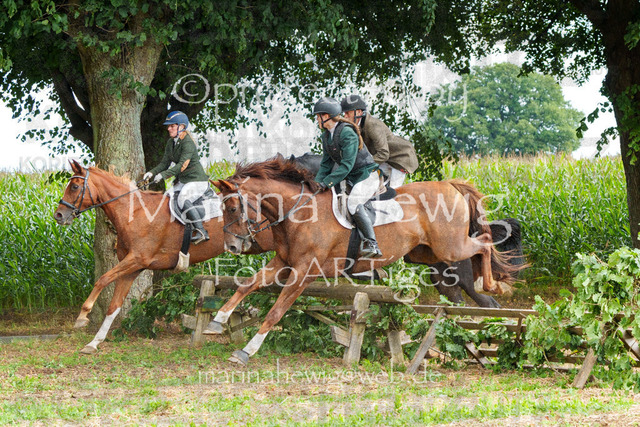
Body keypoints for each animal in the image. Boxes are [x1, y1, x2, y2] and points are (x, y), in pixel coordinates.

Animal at [53, 160, 274, 354]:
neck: (134, 212)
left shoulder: (136, 259)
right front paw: (94, 343)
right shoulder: (132, 268)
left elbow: (102, 279)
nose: (59, 216)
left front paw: (82, 316)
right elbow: (114, 306)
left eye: (74, 186)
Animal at [208, 157, 524, 365]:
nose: (232, 246)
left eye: (233, 208)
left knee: (484, 245)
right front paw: (217, 321)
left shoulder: (304, 272)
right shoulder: (283, 263)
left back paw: (492, 290)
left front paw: (247, 350)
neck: (299, 212)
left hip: (452, 249)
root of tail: (450, 185)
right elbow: (246, 285)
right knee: (460, 301)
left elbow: (276, 311)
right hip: (432, 258)